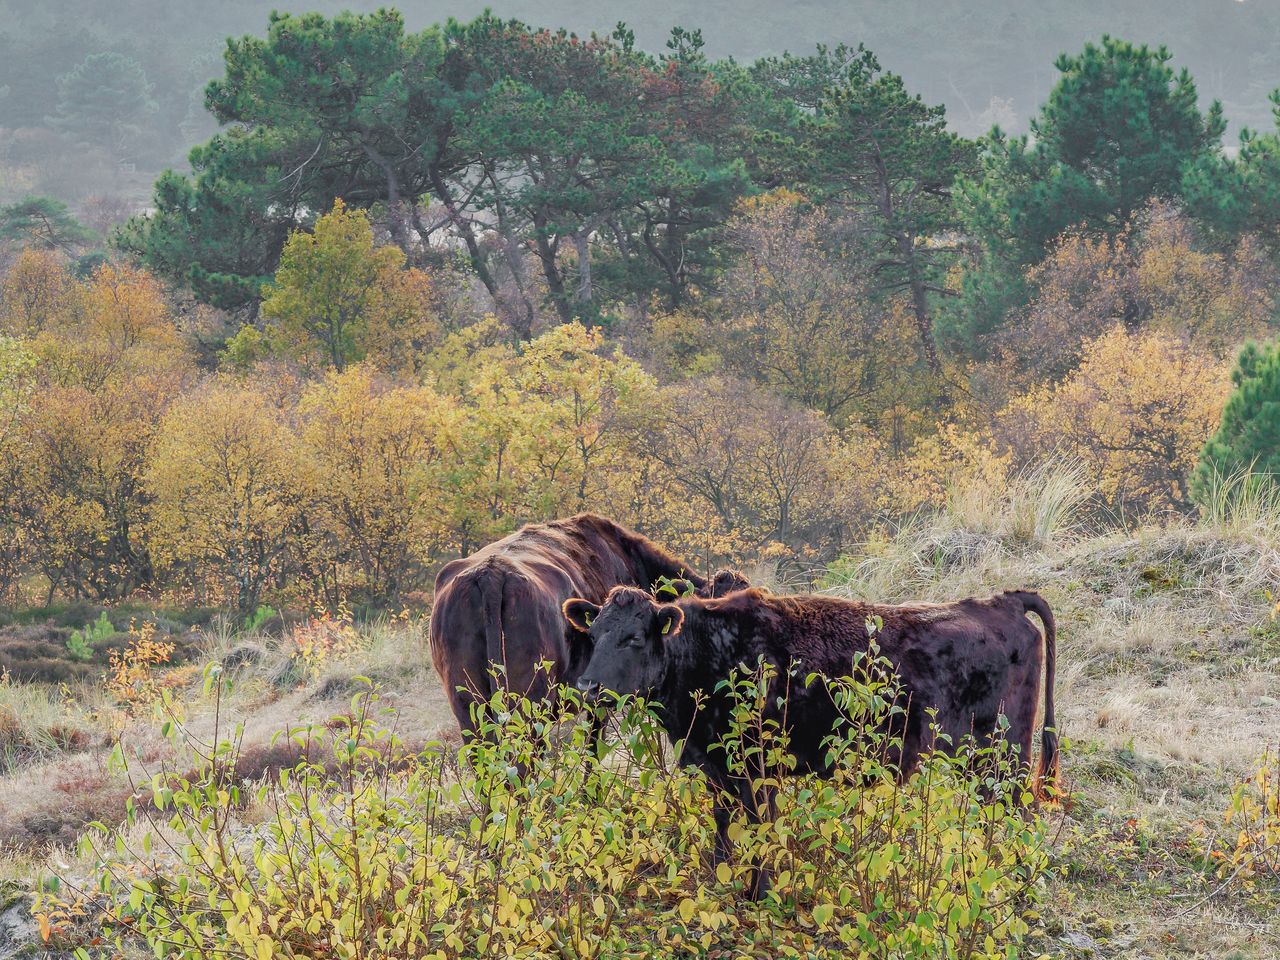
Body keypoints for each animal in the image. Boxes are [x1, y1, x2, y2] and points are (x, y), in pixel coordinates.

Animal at [565, 586, 1054, 901]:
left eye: (633, 638)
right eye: (594, 634)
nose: (587, 686)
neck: (710, 654)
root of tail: (1001, 602)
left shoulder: (757, 769)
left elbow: (760, 831)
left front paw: (760, 895)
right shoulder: (716, 766)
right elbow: (725, 828)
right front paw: (726, 881)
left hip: (1003, 759)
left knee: (1018, 818)